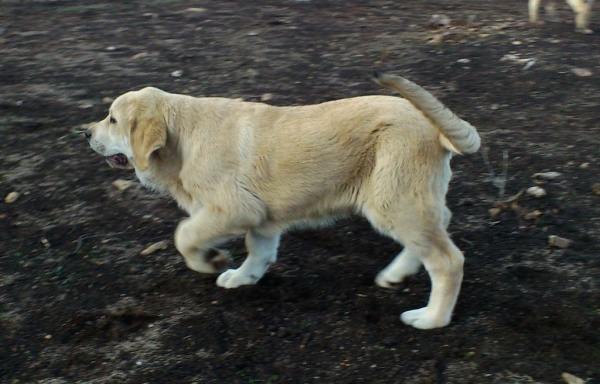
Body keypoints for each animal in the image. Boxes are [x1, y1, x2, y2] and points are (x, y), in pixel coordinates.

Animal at [84, 72, 480, 330]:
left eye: (112, 119)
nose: (85, 132)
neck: (182, 139)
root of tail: (434, 125)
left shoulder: (234, 209)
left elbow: (184, 235)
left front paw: (212, 260)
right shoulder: (261, 216)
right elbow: (259, 250)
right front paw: (243, 276)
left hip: (392, 199)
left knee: (447, 260)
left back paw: (431, 318)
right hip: (406, 198)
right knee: (439, 225)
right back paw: (396, 275)